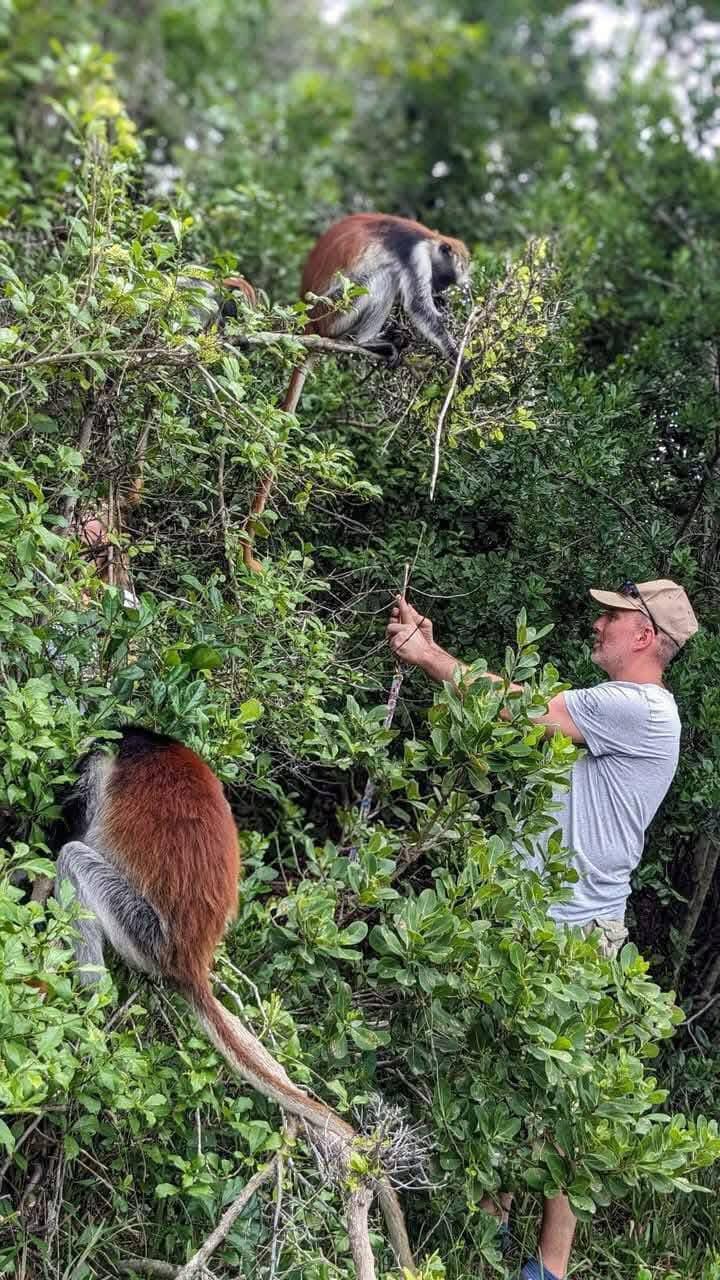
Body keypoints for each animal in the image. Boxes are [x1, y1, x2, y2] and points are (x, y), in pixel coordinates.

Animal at [53, 725, 415, 1273]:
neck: (151, 743)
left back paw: (89, 1006)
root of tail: (191, 960)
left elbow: (85, 825)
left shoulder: (104, 769)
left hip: (141, 930)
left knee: (75, 858)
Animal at [242, 213, 470, 571]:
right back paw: (368, 342)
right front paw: (456, 356)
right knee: (385, 278)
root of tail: (310, 323)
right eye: (445, 278)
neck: (429, 238)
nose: (442, 291)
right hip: (337, 311)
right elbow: (418, 306)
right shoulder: (415, 255)